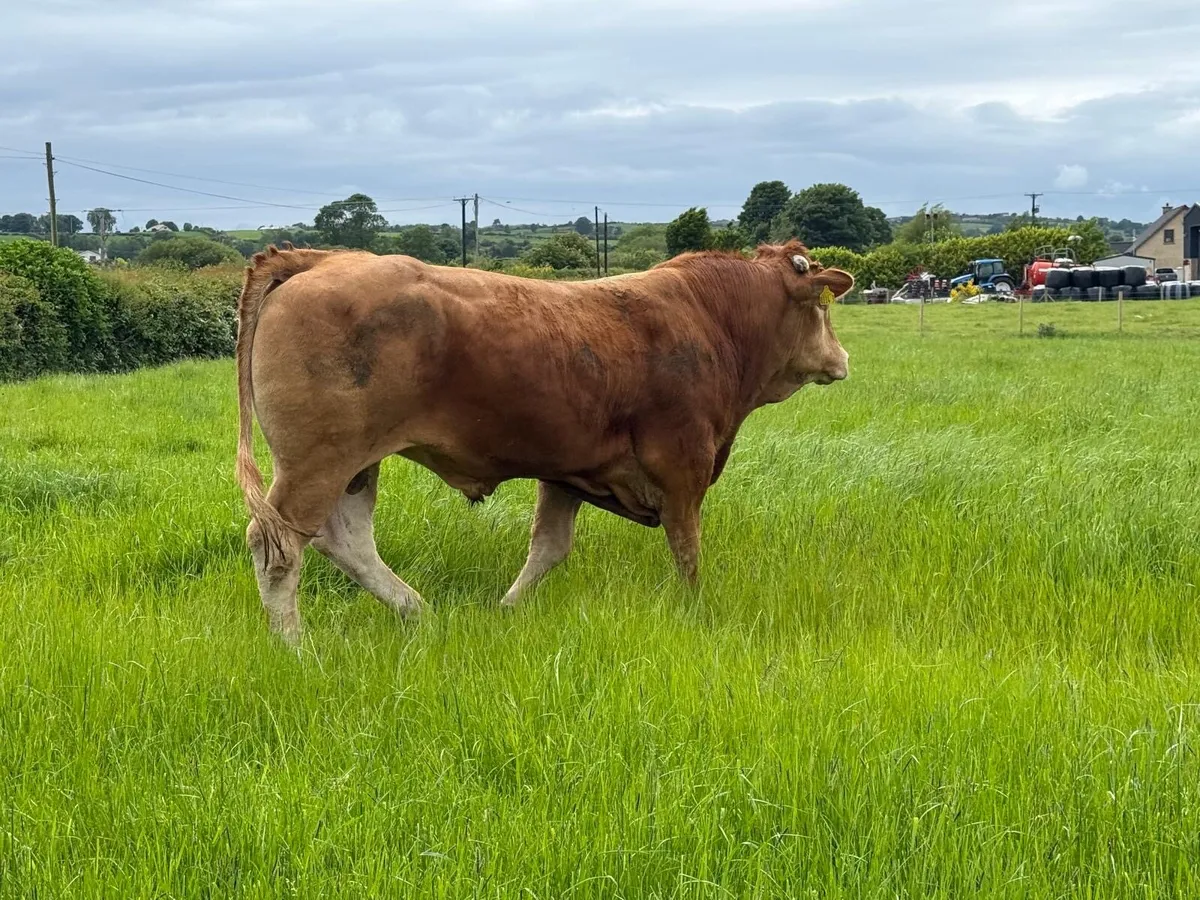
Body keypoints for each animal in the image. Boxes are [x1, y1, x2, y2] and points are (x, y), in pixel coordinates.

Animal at [234, 240, 852, 641]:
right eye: (823, 309)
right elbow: (687, 553)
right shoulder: (683, 468)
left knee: (346, 541)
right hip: (319, 461)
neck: (709, 318)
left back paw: (418, 613)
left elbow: (549, 548)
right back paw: (296, 649)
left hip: (355, 465)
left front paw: (506, 611)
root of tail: (321, 257)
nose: (842, 358)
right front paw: (694, 613)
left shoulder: (567, 472)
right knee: (278, 547)